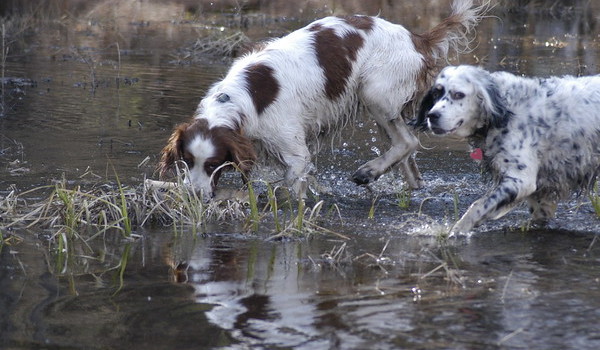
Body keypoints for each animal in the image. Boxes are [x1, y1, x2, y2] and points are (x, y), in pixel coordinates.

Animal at [158, 0, 488, 200]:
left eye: (214, 164)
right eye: (187, 161)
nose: (193, 196)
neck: (240, 100)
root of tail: (417, 38)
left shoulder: (295, 152)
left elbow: (294, 186)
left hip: (375, 93)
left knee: (408, 142)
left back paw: (368, 171)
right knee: (407, 156)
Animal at [414, 65, 600, 234]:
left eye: (458, 94)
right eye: (436, 94)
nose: (432, 115)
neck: (504, 111)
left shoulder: (520, 181)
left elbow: (477, 206)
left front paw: (456, 231)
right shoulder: (540, 189)